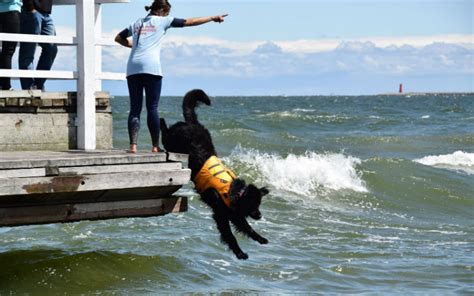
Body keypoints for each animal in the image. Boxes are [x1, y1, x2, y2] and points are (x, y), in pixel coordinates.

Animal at [160, 88, 268, 260]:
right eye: (253, 204)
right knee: (165, 132)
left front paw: (260, 238)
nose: (259, 215)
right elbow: (230, 234)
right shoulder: (221, 214)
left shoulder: (234, 214)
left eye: (259, 204)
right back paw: (161, 121)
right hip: (172, 141)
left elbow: (246, 227)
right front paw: (239, 252)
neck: (234, 192)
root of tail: (192, 123)